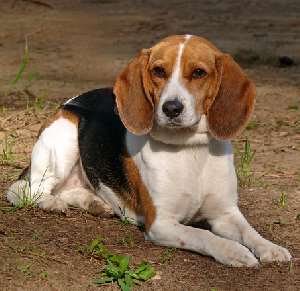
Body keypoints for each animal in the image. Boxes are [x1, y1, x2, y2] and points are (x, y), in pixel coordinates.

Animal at [7, 34, 290, 266]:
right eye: (159, 71)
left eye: (199, 73)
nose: (171, 108)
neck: (190, 150)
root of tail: (72, 101)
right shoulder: (162, 223)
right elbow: (202, 235)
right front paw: (234, 251)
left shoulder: (225, 213)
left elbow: (249, 231)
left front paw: (270, 248)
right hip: (64, 136)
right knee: (33, 190)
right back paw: (52, 203)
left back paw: (94, 203)